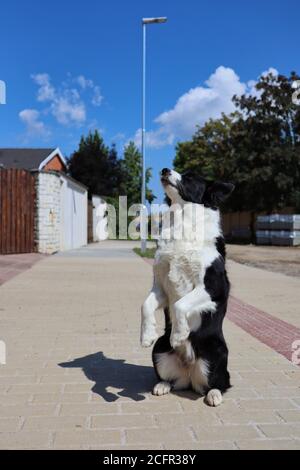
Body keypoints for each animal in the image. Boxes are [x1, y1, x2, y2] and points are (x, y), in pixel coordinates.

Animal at [141, 169, 234, 408]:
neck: (182, 221)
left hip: (217, 352)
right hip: (159, 350)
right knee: (173, 381)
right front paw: (146, 334)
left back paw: (214, 394)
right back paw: (163, 385)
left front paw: (179, 335)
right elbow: (145, 306)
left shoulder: (212, 289)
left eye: (191, 178)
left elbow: (181, 304)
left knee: (220, 382)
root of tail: (190, 374)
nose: (164, 170)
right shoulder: (161, 287)